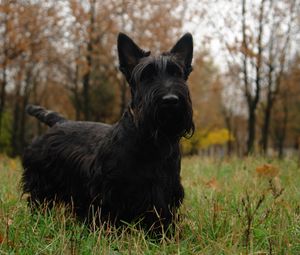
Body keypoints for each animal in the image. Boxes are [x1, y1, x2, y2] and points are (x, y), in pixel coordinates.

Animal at [21, 32, 195, 233]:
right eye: (146, 76)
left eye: (177, 73)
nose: (170, 100)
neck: (153, 141)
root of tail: (61, 122)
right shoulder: (110, 189)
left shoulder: (166, 190)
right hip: (41, 179)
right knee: (39, 199)